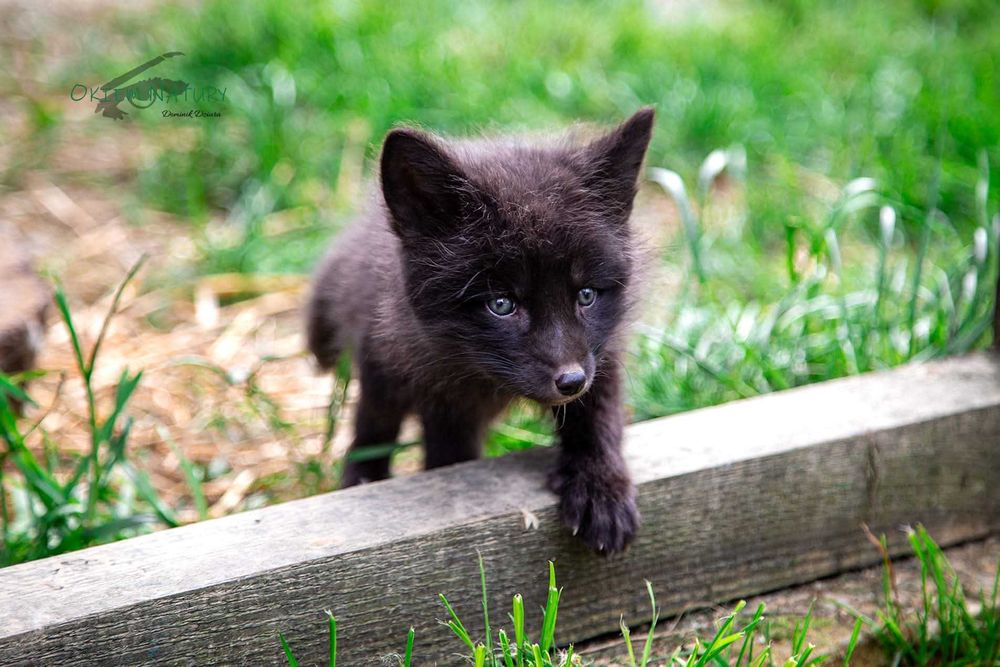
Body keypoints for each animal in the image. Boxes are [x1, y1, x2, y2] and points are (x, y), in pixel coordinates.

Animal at [306, 108, 655, 553]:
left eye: (587, 295)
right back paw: (362, 478)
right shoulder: (440, 400)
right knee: (373, 421)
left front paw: (601, 489)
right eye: (502, 304)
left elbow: (600, 416)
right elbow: (441, 455)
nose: (571, 381)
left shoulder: (601, 354)